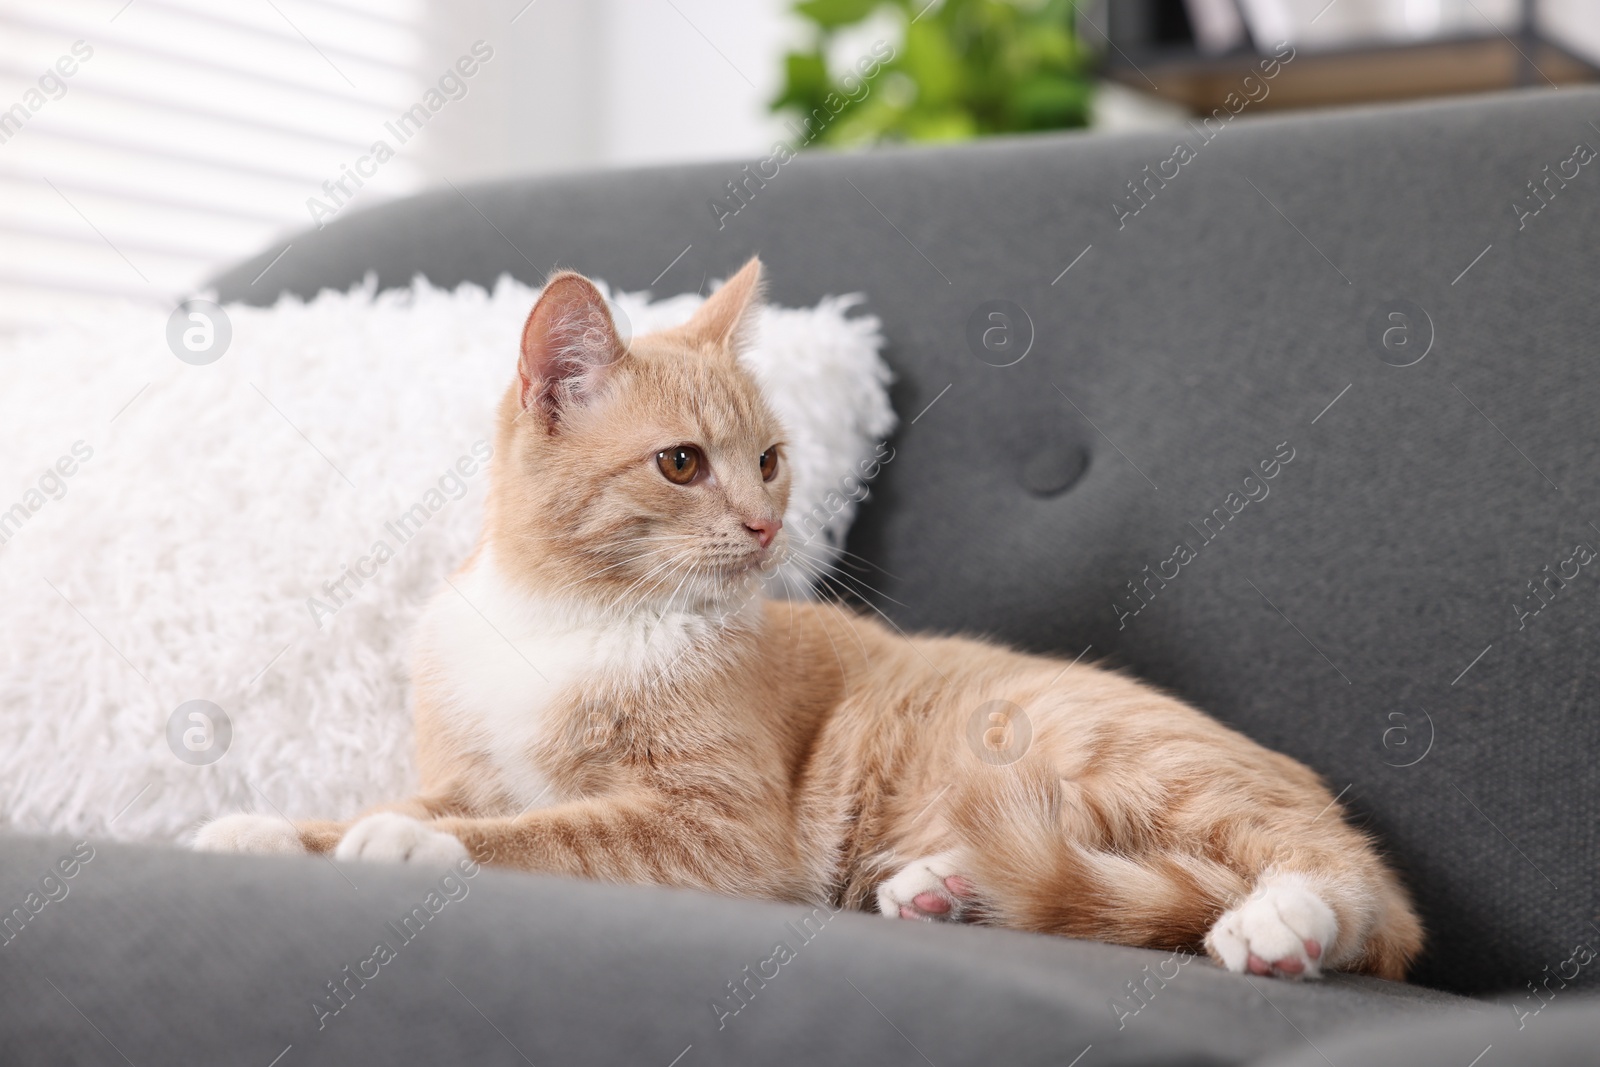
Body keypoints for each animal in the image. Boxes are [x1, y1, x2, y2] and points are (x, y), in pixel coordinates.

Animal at [200, 260, 1427, 985]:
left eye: (771, 460)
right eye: (682, 463)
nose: (763, 523)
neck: (572, 614)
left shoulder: (720, 829)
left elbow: (545, 831)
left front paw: (413, 847)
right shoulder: (464, 768)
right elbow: (394, 805)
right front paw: (274, 829)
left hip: (1132, 759)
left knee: (1345, 882)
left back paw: (1289, 921)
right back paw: (943, 888)